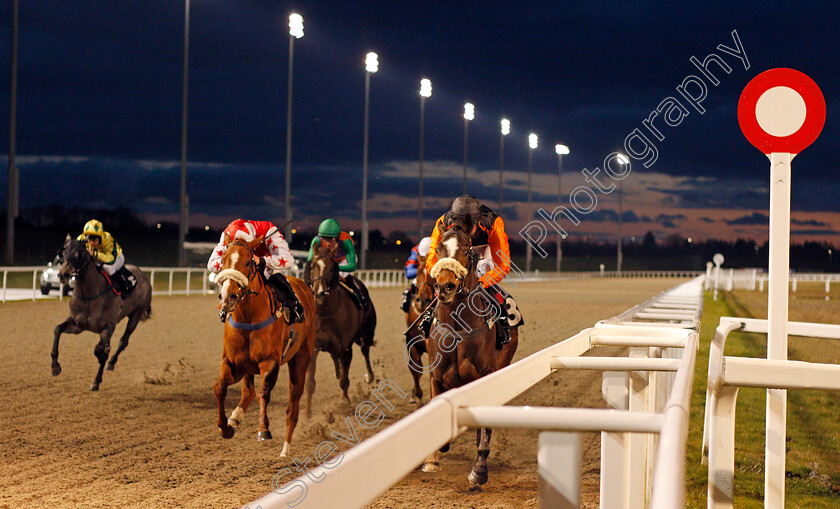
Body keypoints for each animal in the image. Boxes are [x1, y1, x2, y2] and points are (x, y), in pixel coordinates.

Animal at [51, 232, 153, 390]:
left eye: (79, 254)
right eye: (63, 253)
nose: (63, 274)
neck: (89, 296)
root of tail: (143, 275)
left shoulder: (108, 327)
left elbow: (100, 351)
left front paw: (96, 381)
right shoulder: (77, 325)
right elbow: (57, 330)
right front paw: (55, 366)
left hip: (135, 315)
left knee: (123, 342)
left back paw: (111, 362)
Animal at [212, 238, 316, 456]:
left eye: (248, 262)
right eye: (223, 261)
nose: (228, 297)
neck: (248, 318)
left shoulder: (270, 362)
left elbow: (263, 392)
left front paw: (263, 429)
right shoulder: (233, 363)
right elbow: (219, 387)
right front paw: (225, 427)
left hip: (301, 358)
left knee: (293, 407)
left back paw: (285, 450)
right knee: (248, 391)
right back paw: (235, 417)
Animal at [306, 244, 376, 402]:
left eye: (332, 268)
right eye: (312, 266)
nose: (319, 292)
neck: (325, 312)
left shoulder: (346, 348)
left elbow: (345, 380)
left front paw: (345, 401)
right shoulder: (314, 346)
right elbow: (310, 381)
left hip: (367, 331)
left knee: (365, 349)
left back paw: (369, 376)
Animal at [420, 228, 520, 486]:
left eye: (466, 251)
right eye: (439, 249)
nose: (445, 287)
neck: (457, 329)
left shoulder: (485, 375)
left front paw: (479, 469)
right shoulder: (436, 376)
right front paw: (432, 459)